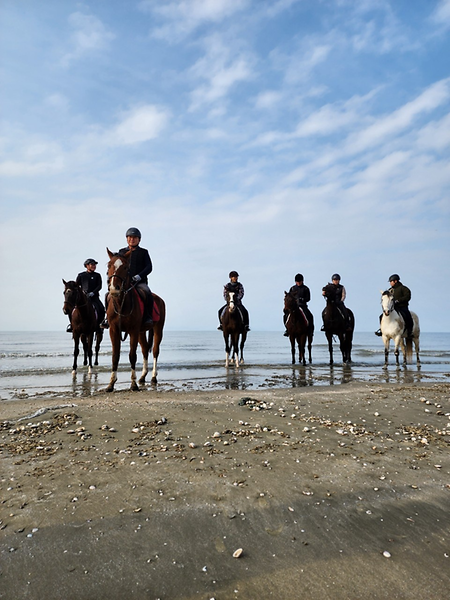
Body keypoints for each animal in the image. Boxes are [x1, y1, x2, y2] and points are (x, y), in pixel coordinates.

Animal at [105, 247, 165, 392]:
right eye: (109, 265)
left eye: (126, 267)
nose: (114, 289)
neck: (121, 304)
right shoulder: (114, 330)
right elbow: (115, 356)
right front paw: (111, 383)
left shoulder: (133, 331)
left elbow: (132, 355)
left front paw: (133, 384)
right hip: (141, 332)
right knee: (144, 350)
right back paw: (143, 376)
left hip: (158, 329)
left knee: (155, 351)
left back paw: (153, 377)